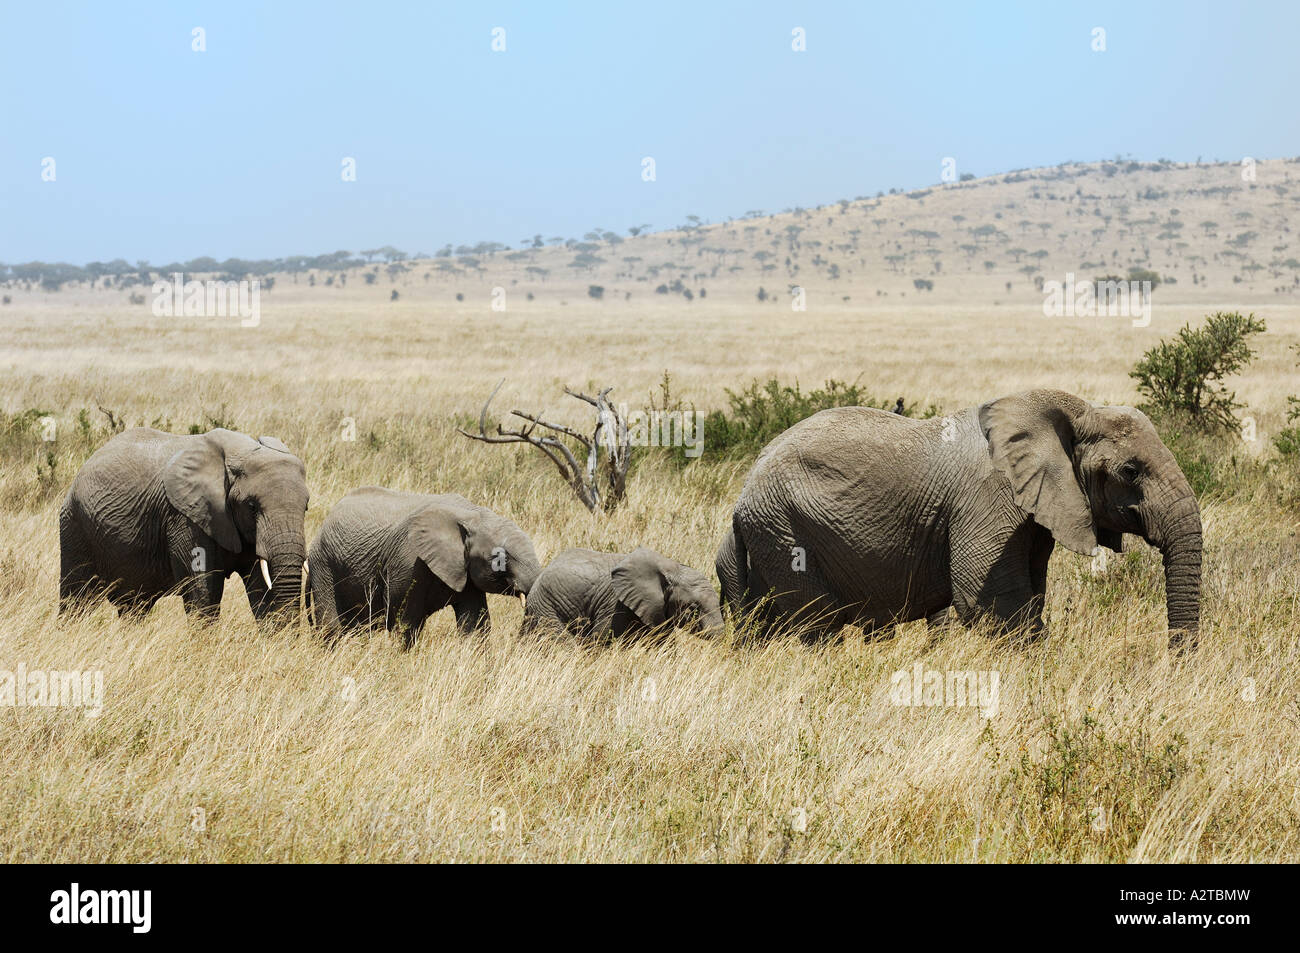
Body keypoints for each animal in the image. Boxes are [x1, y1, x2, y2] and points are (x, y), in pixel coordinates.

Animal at [62, 426, 312, 621]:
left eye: (306, 507)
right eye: (251, 507)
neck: (240, 452)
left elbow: (261, 590)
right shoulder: (186, 517)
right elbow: (203, 590)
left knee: (134, 606)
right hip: (75, 525)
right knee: (76, 599)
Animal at [306, 483, 540, 647]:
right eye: (499, 560)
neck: (472, 514)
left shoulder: (465, 571)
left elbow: (475, 626)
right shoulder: (409, 560)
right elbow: (406, 622)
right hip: (323, 564)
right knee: (332, 629)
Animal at [717, 387, 1201, 647]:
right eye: (1130, 471)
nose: (1174, 666)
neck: (1072, 409)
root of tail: (743, 495)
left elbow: (1031, 598)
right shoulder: (988, 501)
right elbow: (992, 604)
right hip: (784, 529)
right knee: (820, 626)